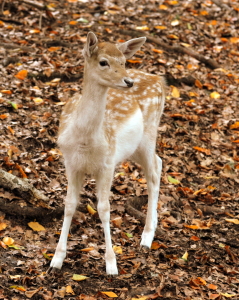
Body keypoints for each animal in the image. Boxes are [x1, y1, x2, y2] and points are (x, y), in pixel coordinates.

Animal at [50, 32, 166, 274]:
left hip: (150, 132)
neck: (85, 142)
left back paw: (147, 236)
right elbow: (69, 205)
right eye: (103, 62)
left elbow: (104, 208)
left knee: (152, 173)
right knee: (159, 162)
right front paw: (56, 259)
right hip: (135, 148)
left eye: (123, 61)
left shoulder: (107, 163)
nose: (128, 81)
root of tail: (159, 80)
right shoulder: (71, 163)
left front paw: (111, 264)